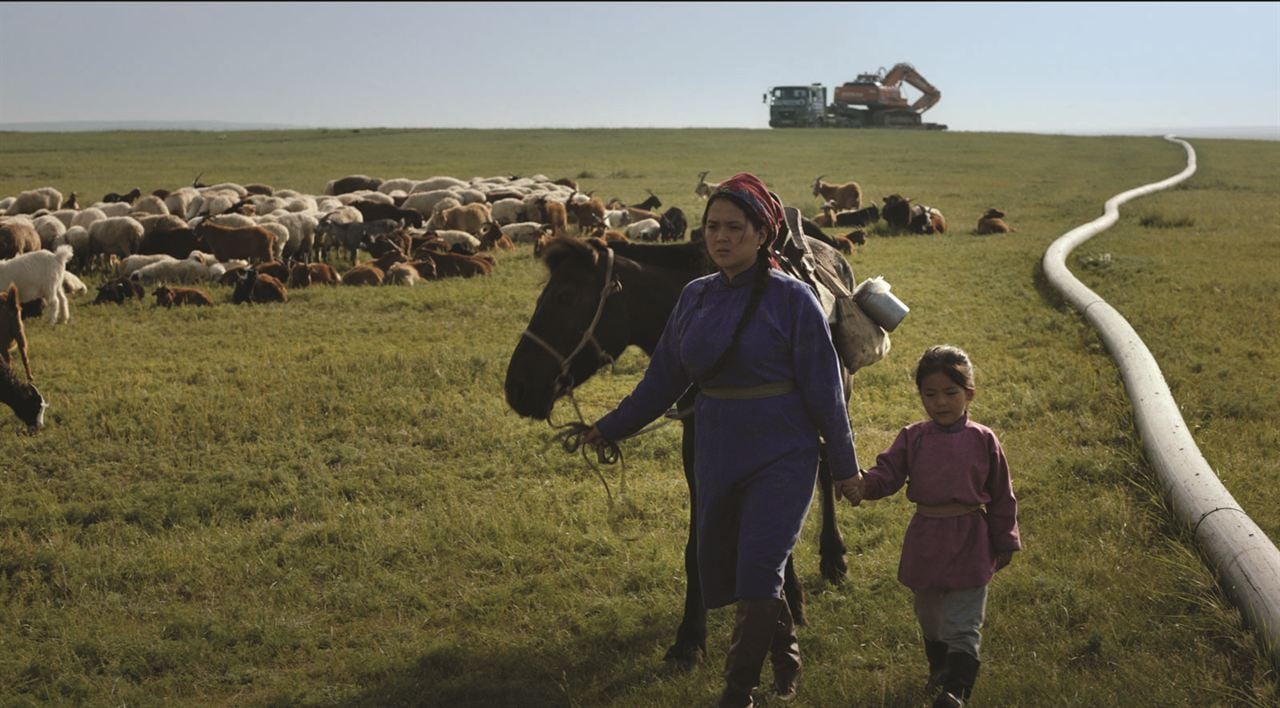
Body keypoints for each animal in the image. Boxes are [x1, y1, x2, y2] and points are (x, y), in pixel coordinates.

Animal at [504, 235, 855, 665]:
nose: (517, 387)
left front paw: (790, 597)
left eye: (565, 296)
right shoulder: (697, 443)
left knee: (829, 467)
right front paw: (690, 638)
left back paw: (834, 556)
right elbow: (701, 543)